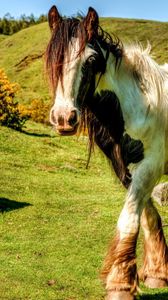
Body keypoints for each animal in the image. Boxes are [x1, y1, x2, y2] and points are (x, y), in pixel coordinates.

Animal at [45, 5, 168, 300]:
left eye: (90, 60)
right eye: (53, 57)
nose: (64, 118)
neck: (139, 105)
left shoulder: (152, 165)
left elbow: (129, 218)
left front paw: (120, 285)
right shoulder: (125, 168)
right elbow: (147, 215)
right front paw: (157, 274)